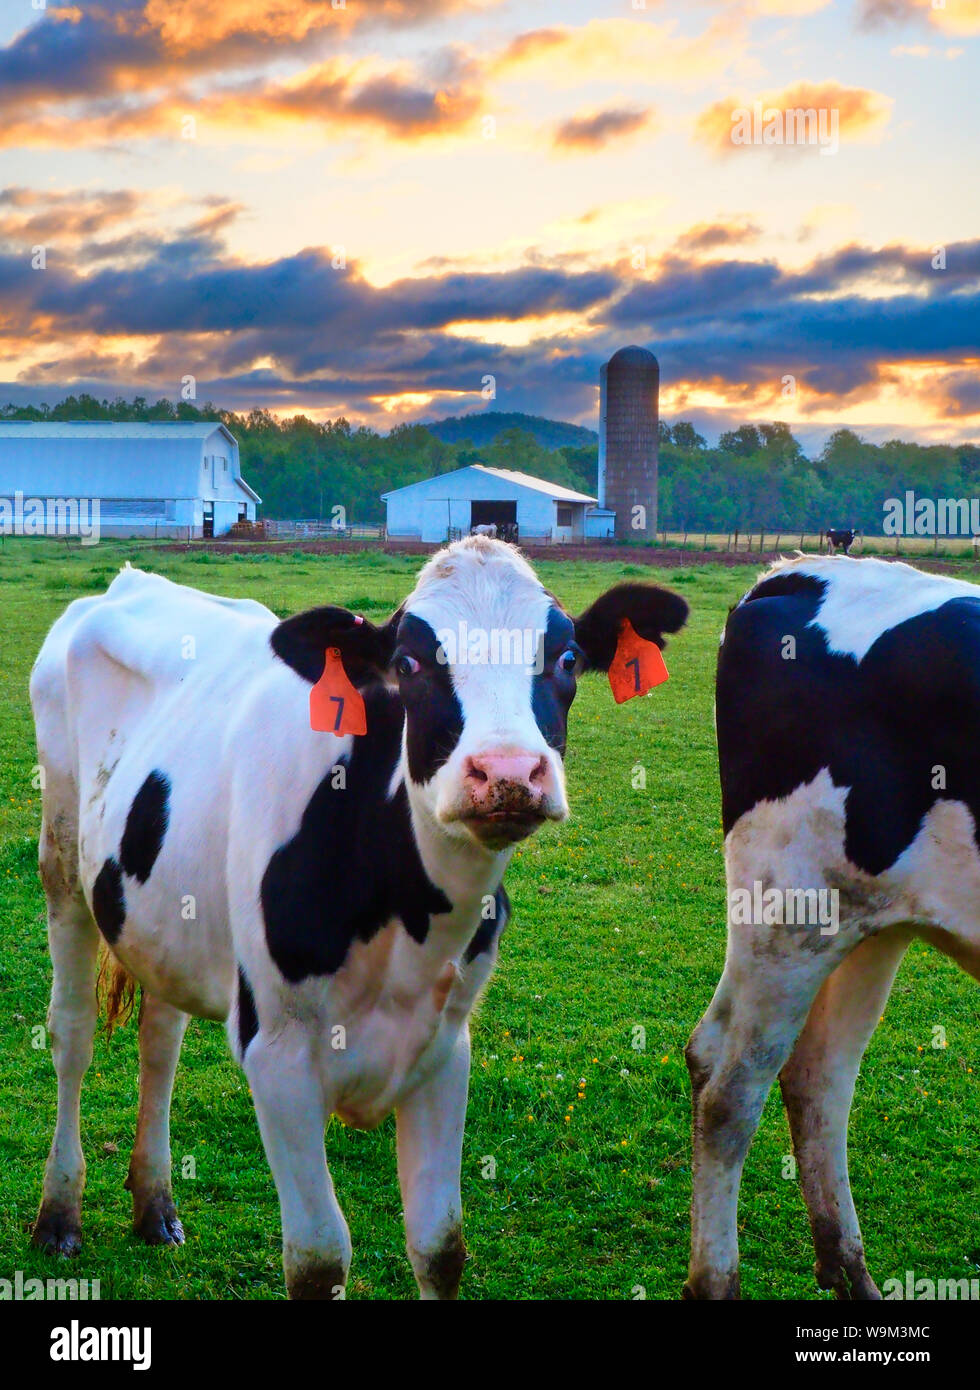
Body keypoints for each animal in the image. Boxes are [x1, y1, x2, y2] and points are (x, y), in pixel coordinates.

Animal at [32, 536, 689, 1295]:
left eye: (567, 658)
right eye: (407, 664)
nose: (507, 773)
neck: (408, 927)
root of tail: (130, 582)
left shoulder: (445, 1050)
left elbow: (440, 1245)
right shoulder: (278, 1058)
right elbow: (318, 1258)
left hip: (161, 913)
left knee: (160, 1039)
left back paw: (156, 1205)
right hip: (62, 865)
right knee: (73, 1035)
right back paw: (59, 1216)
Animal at [683, 556, 978, 1301]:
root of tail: (802, 571)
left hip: (867, 920)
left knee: (816, 1074)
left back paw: (849, 1271)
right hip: (791, 911)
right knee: (729, 1087)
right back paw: (717, 1279)